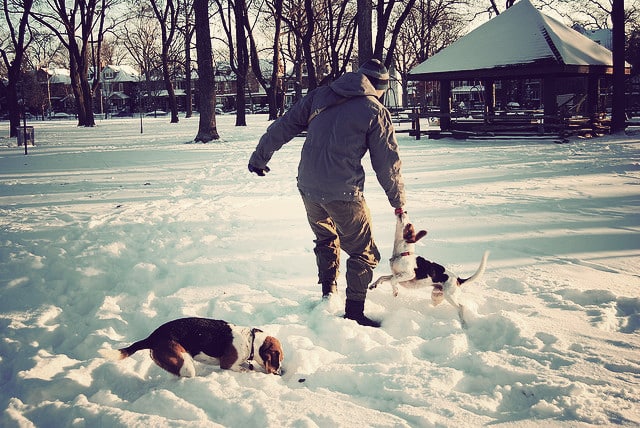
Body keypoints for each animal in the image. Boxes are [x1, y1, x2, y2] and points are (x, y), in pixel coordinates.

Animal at [99, 316, 284, 376]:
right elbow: (244, 368)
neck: (250, 341)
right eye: (280, 358)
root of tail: (152, 337)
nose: (281, 372)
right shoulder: (227, 364)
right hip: (185, 364)